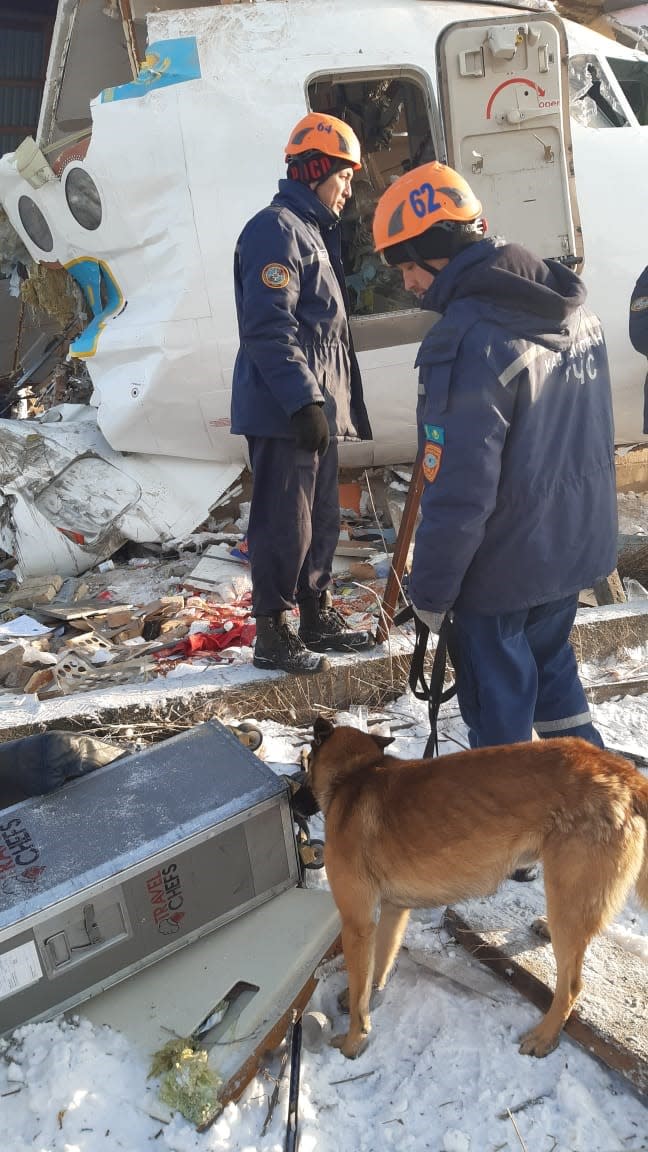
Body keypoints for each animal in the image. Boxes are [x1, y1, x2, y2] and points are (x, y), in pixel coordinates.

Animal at [306, 718, 645, 1059]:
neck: (355, 773)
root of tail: (620, 770)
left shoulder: (357, 924)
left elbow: (360, 995)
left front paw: (353, 1041)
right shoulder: (393, 910)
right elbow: (379, 962)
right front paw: (367, 992)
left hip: (567, 897)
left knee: (572, 986)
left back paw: (544, 1036)